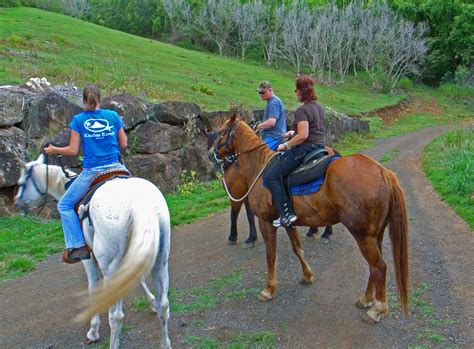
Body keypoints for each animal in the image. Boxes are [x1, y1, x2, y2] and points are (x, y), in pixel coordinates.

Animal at [13, 154, 173, 348]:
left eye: (21, 183)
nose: (17, 203)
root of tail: (137, 203)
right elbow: (138, 278)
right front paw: (150, 302)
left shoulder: (88, 259)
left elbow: (93, 288)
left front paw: (93, 330)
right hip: (160, 259)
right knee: (163, 304)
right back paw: (165, 342)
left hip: (110, 266)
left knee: (116, 316)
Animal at [211, 115, 408, 324]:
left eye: (222, 132)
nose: (211, 154)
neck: (260, 168)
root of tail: (382, 172)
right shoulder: (288, 222)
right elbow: (297, 248)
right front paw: (307, 276)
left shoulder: (265, 221)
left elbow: (271, 256)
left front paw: (269, 289)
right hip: (375, 235)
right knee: (374, 267)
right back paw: (366, 299)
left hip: (363, 235)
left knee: (379, 267)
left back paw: (377, 309)